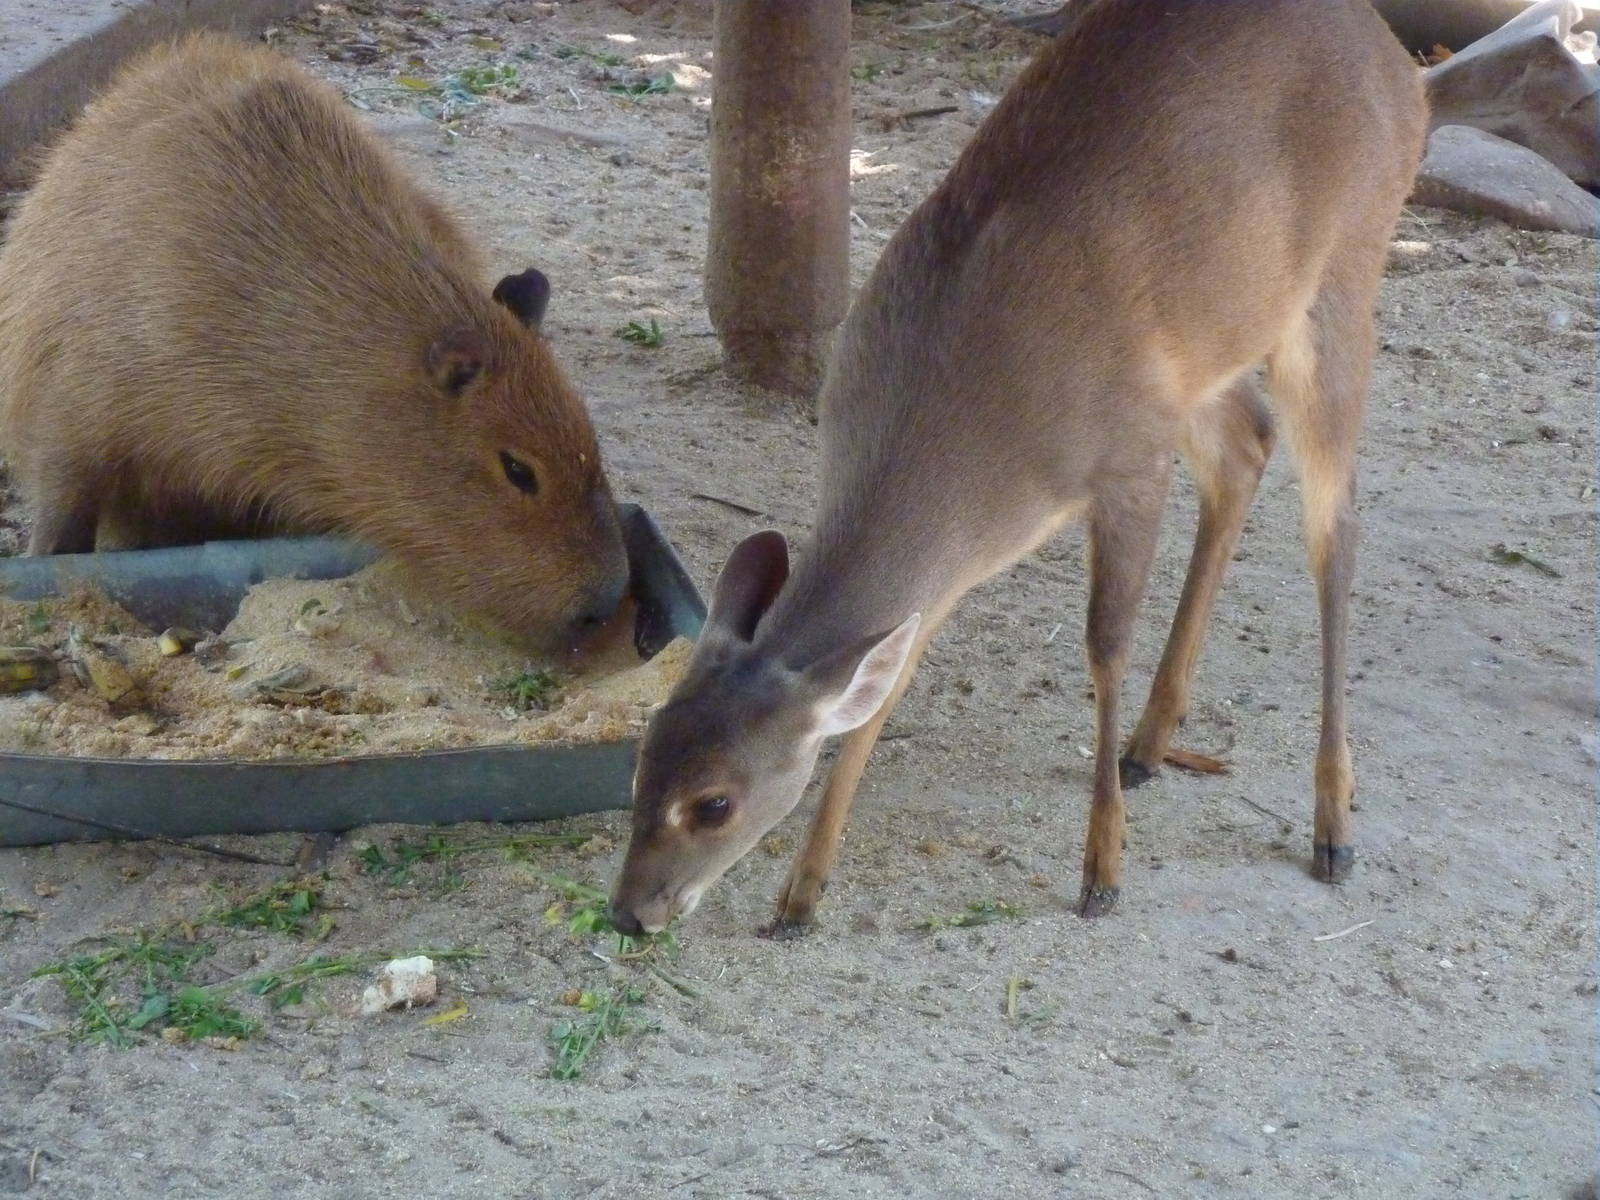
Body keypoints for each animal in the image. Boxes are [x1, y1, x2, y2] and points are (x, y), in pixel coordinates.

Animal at [609, 0, 1427, 936]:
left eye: (714, 803)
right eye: (641, 758)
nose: (630, 912)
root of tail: (1403, 67)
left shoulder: (1126, 463)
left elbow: (1103, 645)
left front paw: (1102, 872)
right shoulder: (971, 548)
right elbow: (886, 686)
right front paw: (801, 895)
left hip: (1342, 278)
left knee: (1335, 526)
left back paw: (1333, 827)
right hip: (1208, 351)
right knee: (1246, 447)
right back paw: (1152, 745)